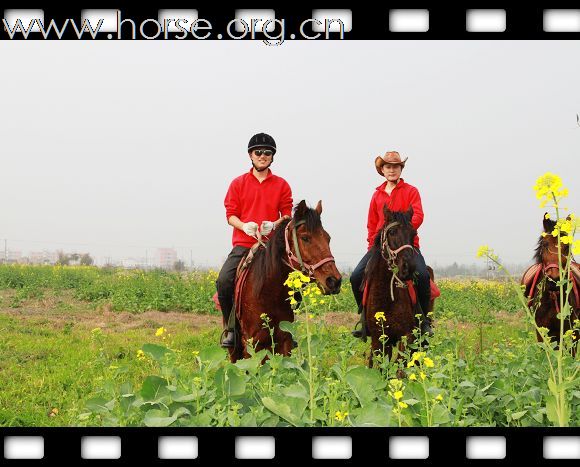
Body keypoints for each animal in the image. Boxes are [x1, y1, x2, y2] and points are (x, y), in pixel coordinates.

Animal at [227, 199, 342, 364]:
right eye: (305, 238)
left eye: (328, 238)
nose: (334, 281)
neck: (268, 292)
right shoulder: (252, 344)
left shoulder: (285, 341)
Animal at [362, 206, 436, 370]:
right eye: (392, 232)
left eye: (413, 233)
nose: (408, 267)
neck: (387, 297)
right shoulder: (379, 339)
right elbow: (382, 369)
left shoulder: (407, 336)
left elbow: (400, 368)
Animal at [520, 215, 580, 352]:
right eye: (544, 245)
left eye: (567, 246)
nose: (554, 280)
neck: (553, 297)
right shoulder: (542, 333)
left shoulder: (571, 332)